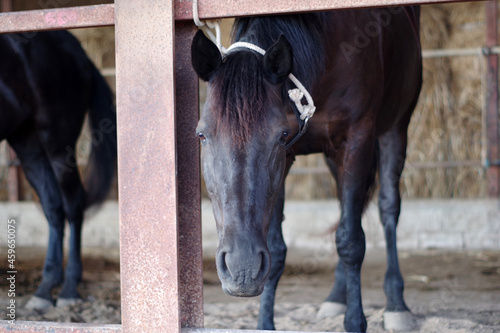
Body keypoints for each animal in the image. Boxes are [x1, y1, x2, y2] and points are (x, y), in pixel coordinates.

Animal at [1, 31, 116, 308]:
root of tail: (76, 48)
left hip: (58, 145)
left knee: (73, 204)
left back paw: (69, 289)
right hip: (28, 146)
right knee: (53, 207)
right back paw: (45, 289)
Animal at [191, 5, 422, 332]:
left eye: (280, 136)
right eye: (202, 135)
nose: (242, 269)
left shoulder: (357, 141)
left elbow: (351, 241)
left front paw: (355, 321)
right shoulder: (289, 159)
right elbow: (278, 248)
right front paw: (265, 323)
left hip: (396, 128)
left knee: (388, 208)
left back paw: (396, 304)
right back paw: (336, 297)